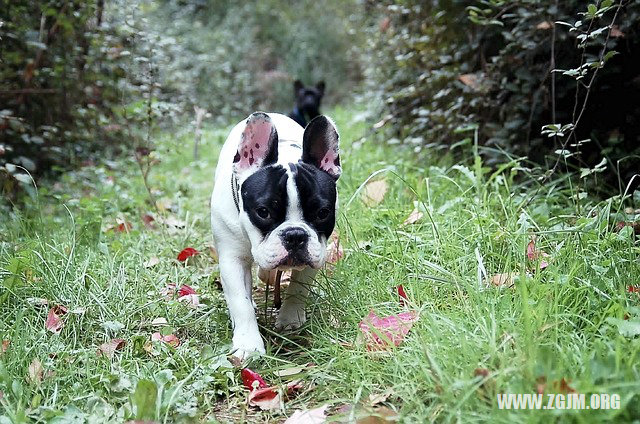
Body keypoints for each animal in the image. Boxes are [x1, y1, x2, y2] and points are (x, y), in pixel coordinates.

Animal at [210, 111, 340, 356]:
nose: (295, 235)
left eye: (322, 213)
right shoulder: (232, 259)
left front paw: (290, 318)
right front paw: (248, 344)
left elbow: (299, 289)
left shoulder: (316, 252)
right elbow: (240, 301)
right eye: (263, 212)